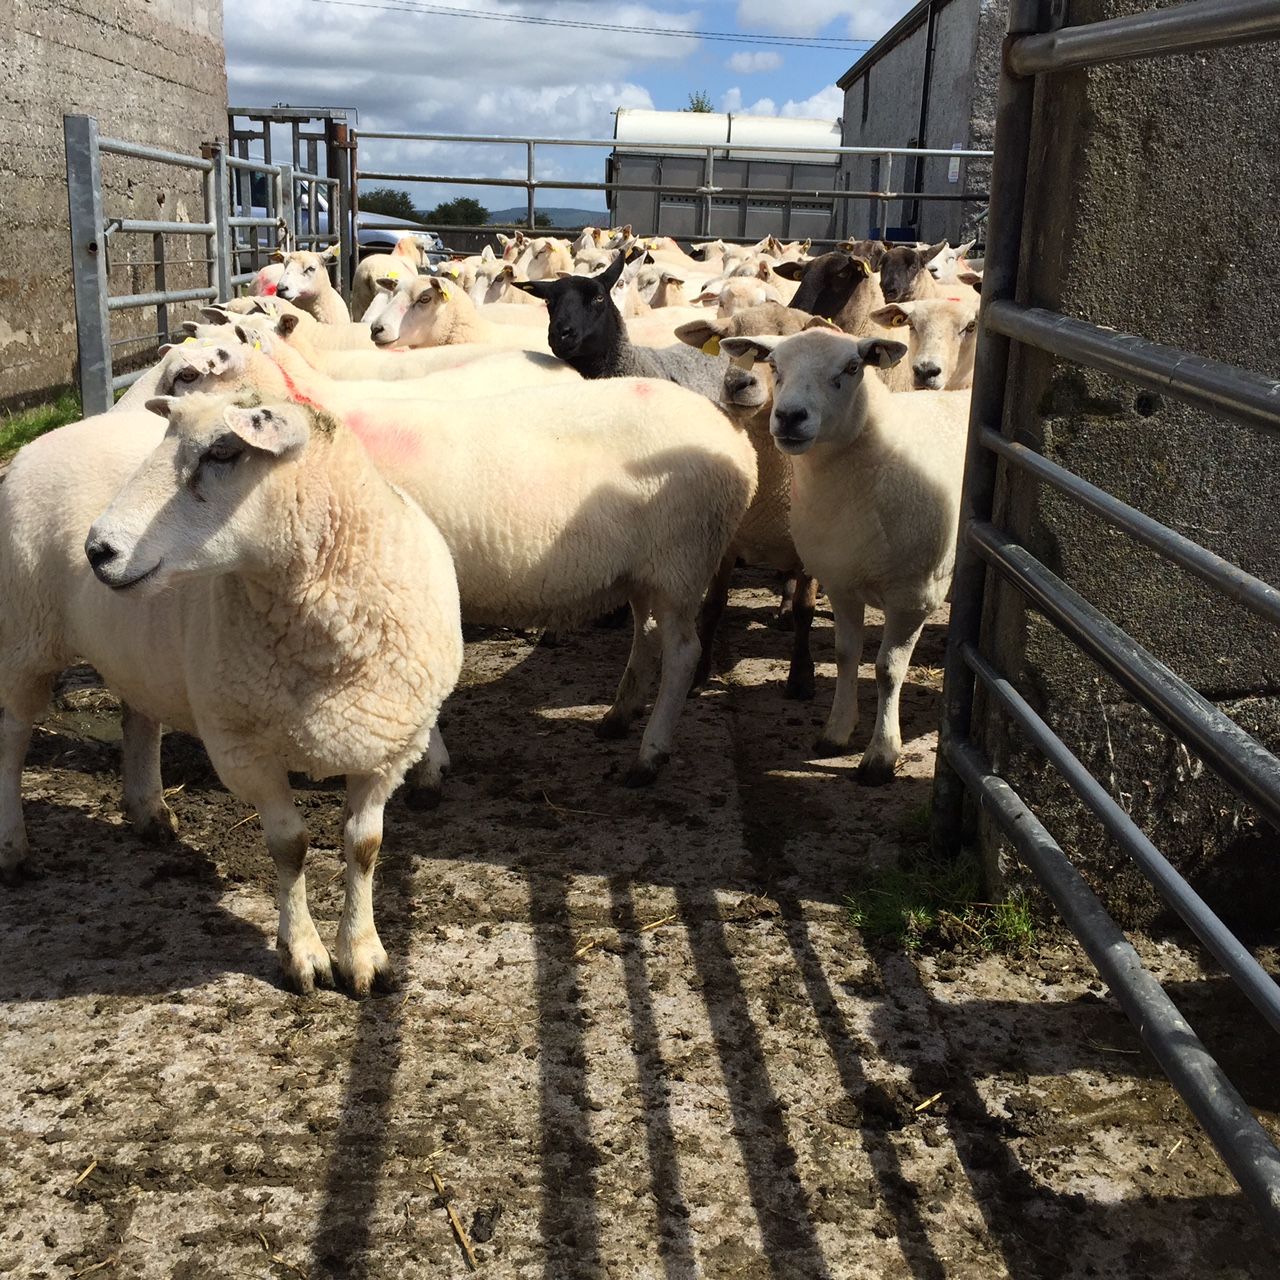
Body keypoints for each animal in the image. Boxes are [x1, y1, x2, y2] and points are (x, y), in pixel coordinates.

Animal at [0, 393, 462, 993]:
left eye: (223, 452)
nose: (97, 550)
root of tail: (53, 435)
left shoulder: (388, 747)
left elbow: (364, 847)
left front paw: (362, 956)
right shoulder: (245, 750)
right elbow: (290, 846)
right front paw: (303, 956)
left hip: (134, 652)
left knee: (138, 718)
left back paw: (149, 811)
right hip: (24, 637)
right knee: (11, 742)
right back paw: (12, 849)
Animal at [720, 328, 969, 784]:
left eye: (852, 367)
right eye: (774, 366)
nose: (789, 416)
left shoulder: (915, 595)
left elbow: (887, 670)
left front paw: (881, 755)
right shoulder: (840, 582)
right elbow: (845, 655)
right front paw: (835, 733)